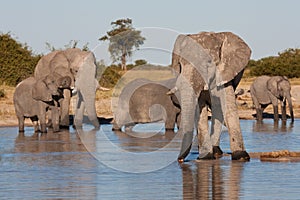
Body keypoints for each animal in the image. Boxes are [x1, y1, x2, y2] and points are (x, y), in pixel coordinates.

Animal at [170, 31, 252, 162]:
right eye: (180, 64)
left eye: (208, 63)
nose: (180, 160)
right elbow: (200, 109)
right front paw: (206, 157)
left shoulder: (224, 72)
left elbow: (228, 107)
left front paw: (241, 157)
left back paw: (217, 152)